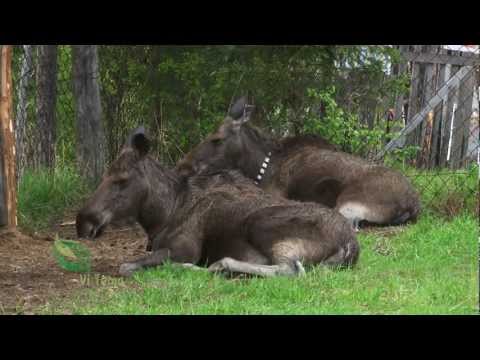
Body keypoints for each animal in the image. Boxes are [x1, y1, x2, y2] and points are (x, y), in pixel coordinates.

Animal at [76, 128, 360, 278]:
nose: (82, 222)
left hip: (261, 223)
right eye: (104, 174)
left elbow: (127, 265)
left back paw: (218, 265)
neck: (163, 215)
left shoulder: (184, 249)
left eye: (121, 180)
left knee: (289, 269)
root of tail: (351, 245)